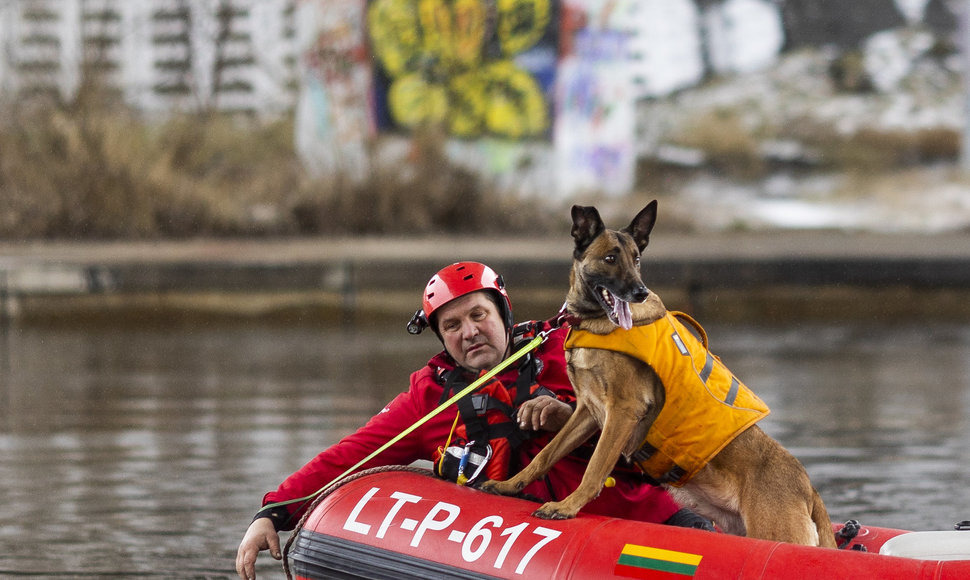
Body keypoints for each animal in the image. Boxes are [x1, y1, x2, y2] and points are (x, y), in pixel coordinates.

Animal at [480, 202, 836, 548]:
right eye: (610, 258)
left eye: (636, 259)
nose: (639, 292)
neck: (596, 324)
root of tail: (809, 487)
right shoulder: (587, 412)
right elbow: (546, 453)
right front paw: (510, 484)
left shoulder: (623, 411)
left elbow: (594, 468)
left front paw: (567, 507)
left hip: (775, 532)